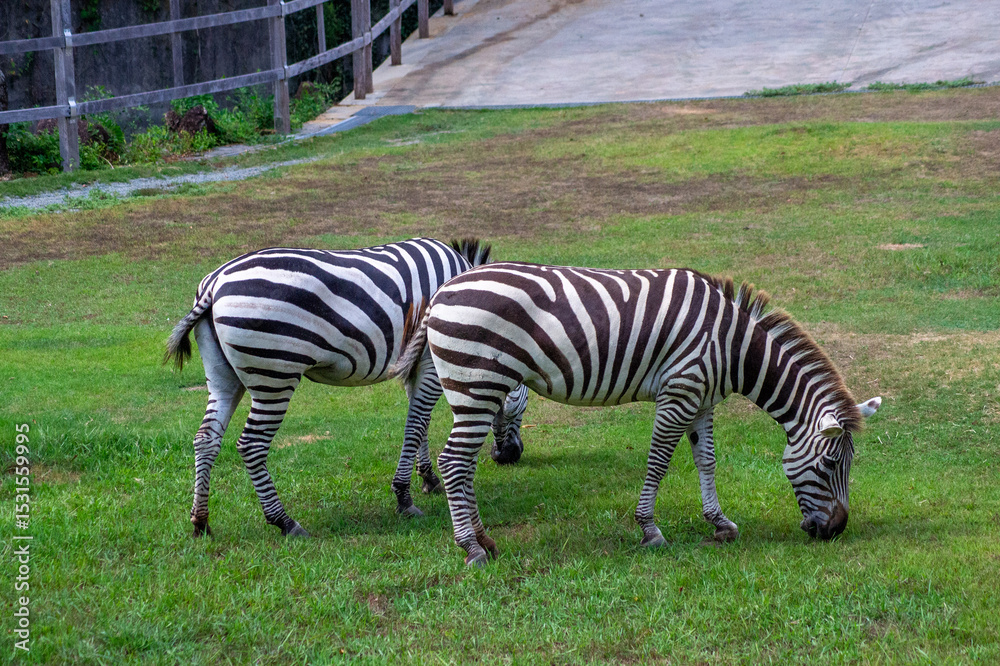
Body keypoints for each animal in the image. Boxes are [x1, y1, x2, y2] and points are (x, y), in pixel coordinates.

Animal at [164, 238, 528, 538]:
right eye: (524, 403)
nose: (510, 456)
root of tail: (215, 282)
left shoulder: (413, 364)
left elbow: (420, 423)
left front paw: (427, 479)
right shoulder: (428, 361)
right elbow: (415, 424)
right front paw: (404, 497)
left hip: (224, 377)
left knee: (206, 439)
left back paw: (201, 522)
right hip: (274, 375)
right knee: (251, 444)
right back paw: (285, 522)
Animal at [392, 262, 881, 565]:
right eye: (831, 464)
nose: (836, 531)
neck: (733, 346)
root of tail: (442, 292)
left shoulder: (703, 399)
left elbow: (707, 461)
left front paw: (720, 523)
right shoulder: (679, 392)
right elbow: (659, 462)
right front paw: (650, 530)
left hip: (477, 389)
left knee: (463, 464)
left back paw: (484, 539)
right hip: (477, 383)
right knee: (454, 462)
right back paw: (471, 548)